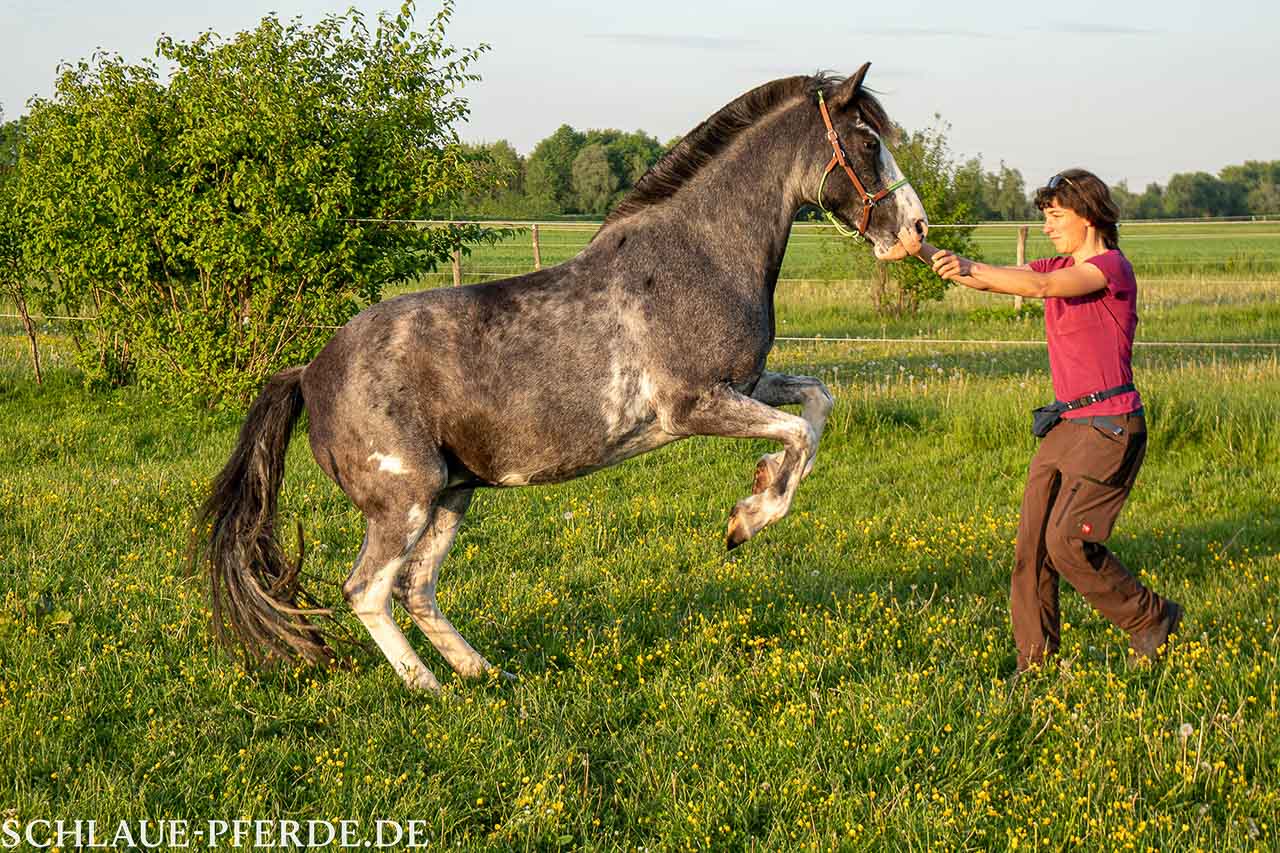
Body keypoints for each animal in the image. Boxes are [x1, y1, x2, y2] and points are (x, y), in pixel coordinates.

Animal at [194, 63, 929, 690]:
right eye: (868, 142)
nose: (916, 229)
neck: (700, 257)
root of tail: (310, 372)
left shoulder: (746, 384)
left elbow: (817, 402)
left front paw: (758, 487)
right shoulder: (695, 406)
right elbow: (799, 434)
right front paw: (746, 519)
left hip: (454, 494)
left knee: (416, 587)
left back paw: (484, 672)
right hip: (406, 497)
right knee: (367, 589)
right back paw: (428, 687)